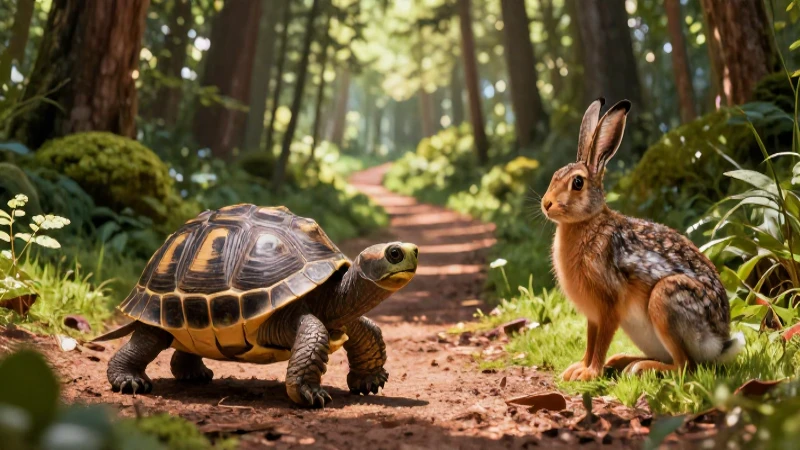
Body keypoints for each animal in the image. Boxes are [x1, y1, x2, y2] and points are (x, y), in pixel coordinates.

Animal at [540, 98, 745, 381]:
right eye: (554, 176)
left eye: (577, 183)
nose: (546, 204)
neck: (588, 222)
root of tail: (720, 342)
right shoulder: (593, 314)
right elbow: (590, 341)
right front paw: (577, 369)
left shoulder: (609, 305)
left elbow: (600, 341)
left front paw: (589, 373)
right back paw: (622, 361)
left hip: (665, 300)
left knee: (686, 365)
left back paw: (640, 368)